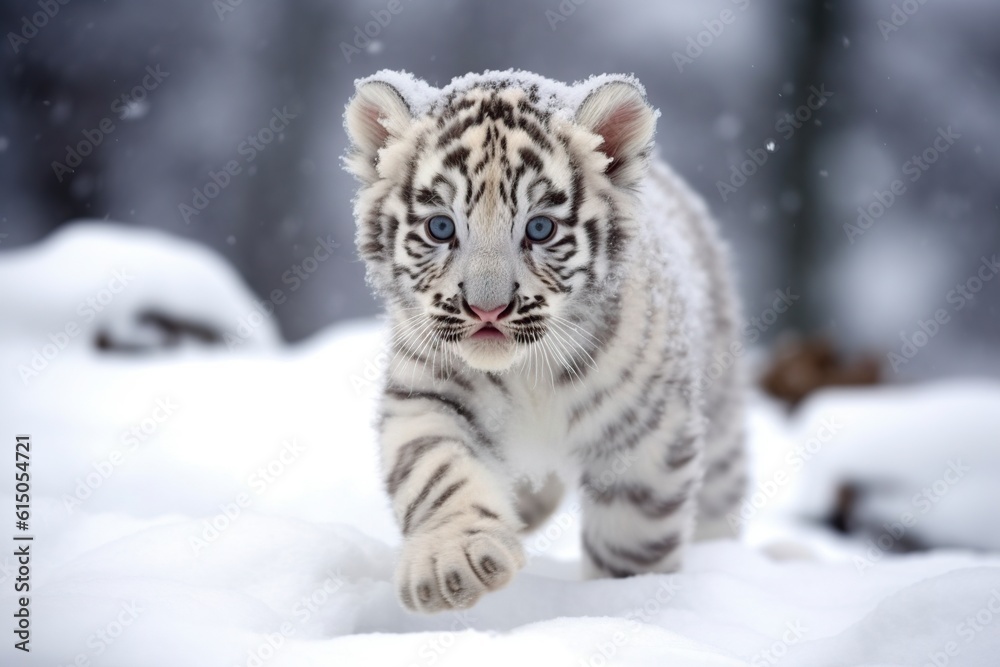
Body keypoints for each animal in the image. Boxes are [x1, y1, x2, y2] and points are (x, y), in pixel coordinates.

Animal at [343, 69, 746, 613]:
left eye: (540, 227)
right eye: (441, 226)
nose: (486, 309)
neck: (526, 375)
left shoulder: (646, 428)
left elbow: (634, 536)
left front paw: (623, 600)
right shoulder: (429, 390)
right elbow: (437, 469)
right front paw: (454, 564)